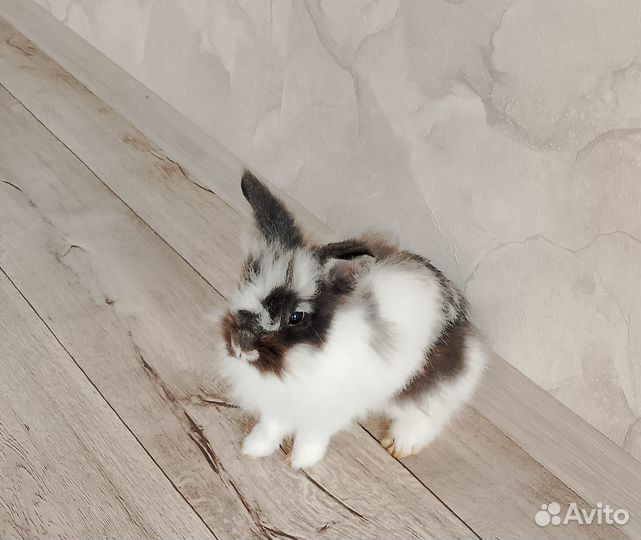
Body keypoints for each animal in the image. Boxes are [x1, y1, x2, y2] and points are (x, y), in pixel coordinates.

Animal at [219, 170, 488, 469]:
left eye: (296, 317)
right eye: (243, 286)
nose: (241, 346)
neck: (304, 360)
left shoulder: (330, 409)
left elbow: (312, 435)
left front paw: (301, 463)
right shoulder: (280, 400)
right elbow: (271, 426)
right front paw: (253, 449)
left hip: (429, 383)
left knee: (429, 412)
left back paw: (399, 444)